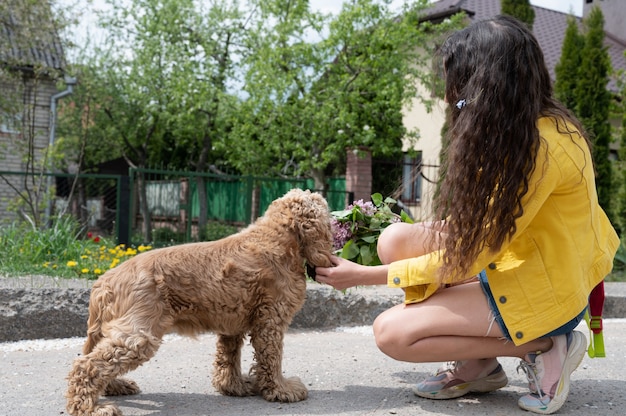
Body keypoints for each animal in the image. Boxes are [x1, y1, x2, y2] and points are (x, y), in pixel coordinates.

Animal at [66, 189, 334, 416]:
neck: (277, 236)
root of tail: (104, 281)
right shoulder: (270, 321)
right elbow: (272, 358)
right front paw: (281, 390)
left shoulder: (233, 323)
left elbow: (228, 357)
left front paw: (234, 386)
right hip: (139, 336)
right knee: (86, 366)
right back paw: (91, 408)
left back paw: (116, 386)